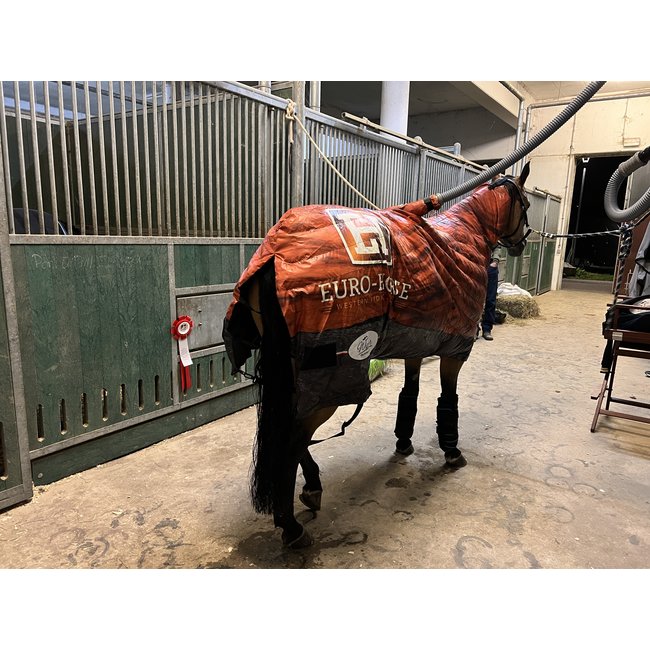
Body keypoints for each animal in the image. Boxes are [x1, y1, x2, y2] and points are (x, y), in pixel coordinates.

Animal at [222, 163, 531, 549]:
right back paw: (291, 526)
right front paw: (452, 451)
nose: (523, 241)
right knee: (292, 440)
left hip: (298, 375)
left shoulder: (417, 344)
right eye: (526, 204)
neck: (464, 237)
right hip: (331, 377)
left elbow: (409, 394)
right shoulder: (455, 352)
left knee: (293, 435)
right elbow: (448, 400)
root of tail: (278, 255)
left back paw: (311, 489)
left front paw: (404, 442)